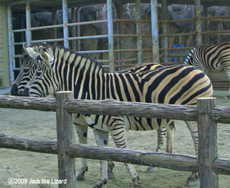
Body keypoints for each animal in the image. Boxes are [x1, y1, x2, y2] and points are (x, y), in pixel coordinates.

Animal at [22, 43, 213, 187]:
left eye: (36, 73)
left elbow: (122, 151)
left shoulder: (116, 123)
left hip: (193, 116)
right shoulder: (98, 128)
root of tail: (197, 70)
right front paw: (102, 180)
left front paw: (135, 180)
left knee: (198, 143)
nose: (21, 93)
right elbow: (102, 153)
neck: (90, 91)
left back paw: (193, 176)